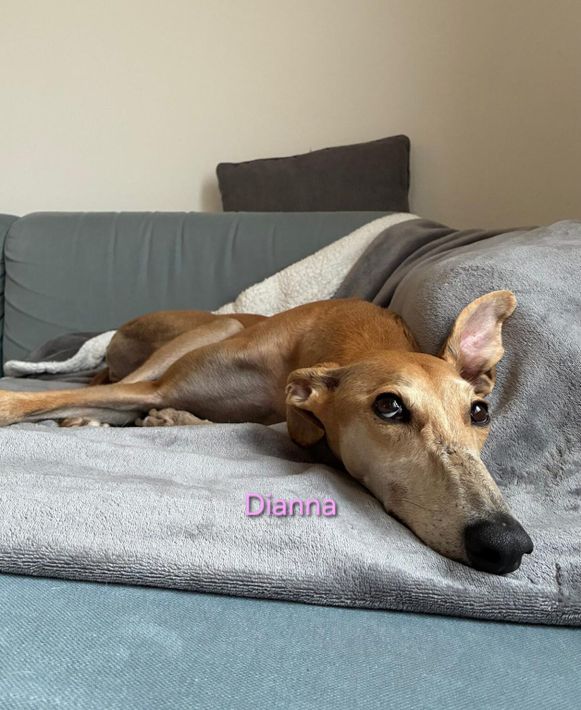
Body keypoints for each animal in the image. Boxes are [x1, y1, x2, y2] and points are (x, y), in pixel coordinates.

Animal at [0, 292, 533, 573]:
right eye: (388, 406)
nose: (508, 543)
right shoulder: (165, 384)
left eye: (480, 412)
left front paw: (168, 419)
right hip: (200, 338)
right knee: (115, 386)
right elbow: (40, 400)